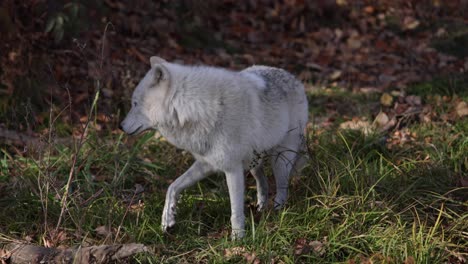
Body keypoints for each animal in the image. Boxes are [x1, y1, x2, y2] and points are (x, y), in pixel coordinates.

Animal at [121, 57, 308, 239]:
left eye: (135, 104)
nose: (120, 126)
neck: (196, 108)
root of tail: (294, 78)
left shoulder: (232, 169)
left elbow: (235, 211)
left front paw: (238, 239)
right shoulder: (207, 163)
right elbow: (172, 187)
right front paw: (167, 219)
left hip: (281, 161)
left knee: (282, 188)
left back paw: (277, 211)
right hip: (253, 163)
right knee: (263, 182)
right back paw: (261, 207)